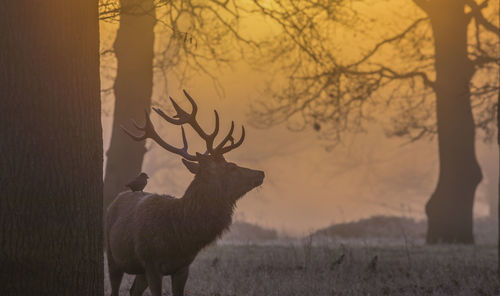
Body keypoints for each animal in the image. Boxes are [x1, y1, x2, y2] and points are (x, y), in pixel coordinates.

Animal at [105, 90, 266, 296]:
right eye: (231, 167)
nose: (260, 173)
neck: (180, 236)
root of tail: (115, 199)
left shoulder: (183, 266)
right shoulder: (152, 263)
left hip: (139, 269)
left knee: (134, 290)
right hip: (113, 255)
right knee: (115, 287)